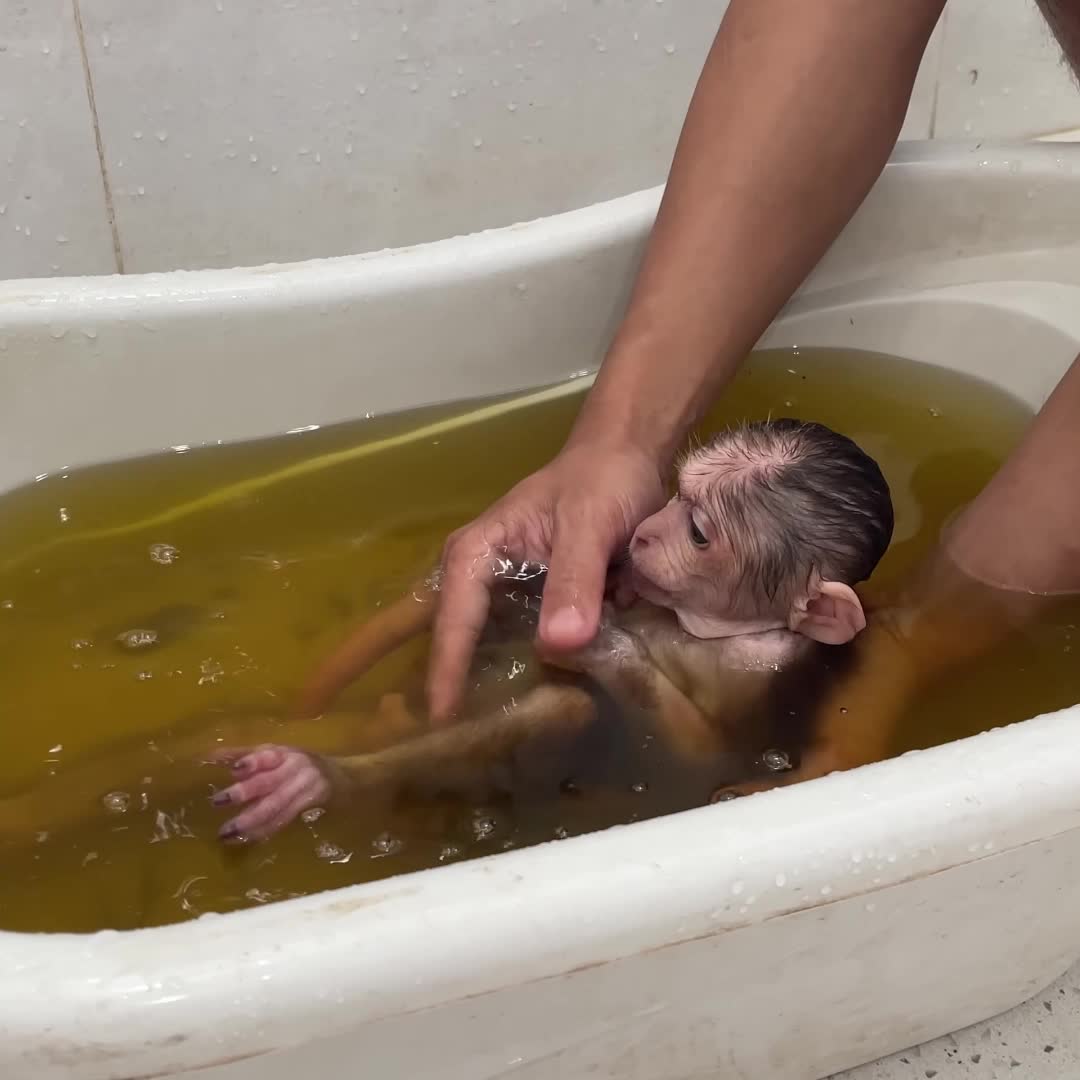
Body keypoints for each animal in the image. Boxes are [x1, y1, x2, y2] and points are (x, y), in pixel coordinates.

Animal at [210, 418, 897, 843]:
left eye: (699, 532)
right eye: (676, 497)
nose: (644, 534)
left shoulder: (754, 669)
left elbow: (702, 753)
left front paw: (601, 643)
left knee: (567, 708)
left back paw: (321, 777)